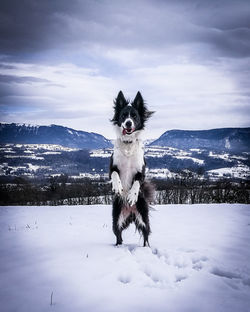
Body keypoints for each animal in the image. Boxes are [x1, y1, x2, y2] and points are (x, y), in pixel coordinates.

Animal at [110, 90, 154, 246]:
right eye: (124, 115)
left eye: (134, 116)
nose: (128, 123)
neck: (128, 144)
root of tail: (130, 212)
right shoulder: (112, 167)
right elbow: (115, 175)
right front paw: (118, 187)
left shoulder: (141, 171)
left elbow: (136, 183)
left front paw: (131, 195)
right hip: (116, 218)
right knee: (118, 236)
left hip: (143, 216)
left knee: (146, 235)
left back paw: (146, 249)